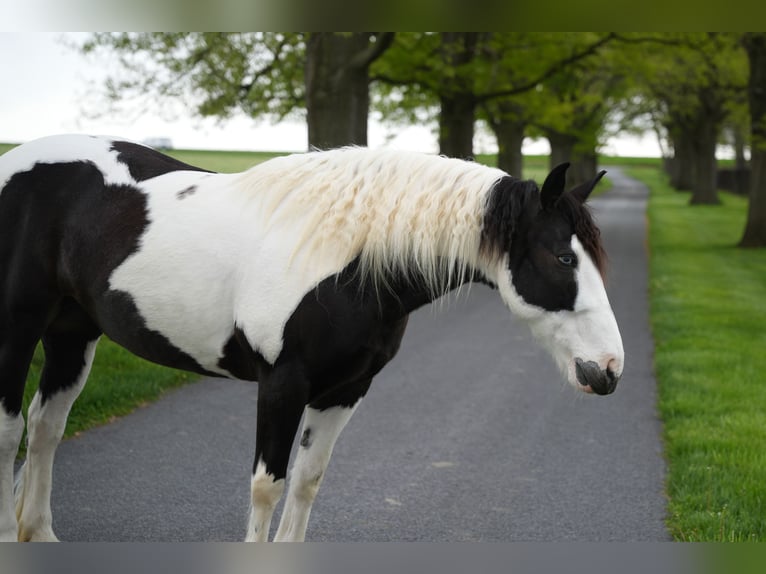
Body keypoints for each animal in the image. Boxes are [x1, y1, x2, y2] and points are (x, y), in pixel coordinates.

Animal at [0, 134, 624, 542]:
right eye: (563, 257)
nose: (608, 369)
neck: (350, 263)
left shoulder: (346, 389)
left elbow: (306, 483)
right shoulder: (282, 384)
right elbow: (267, 487)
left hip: (72, 334)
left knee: (47, 427)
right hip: (18, 328)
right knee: (12, 430)